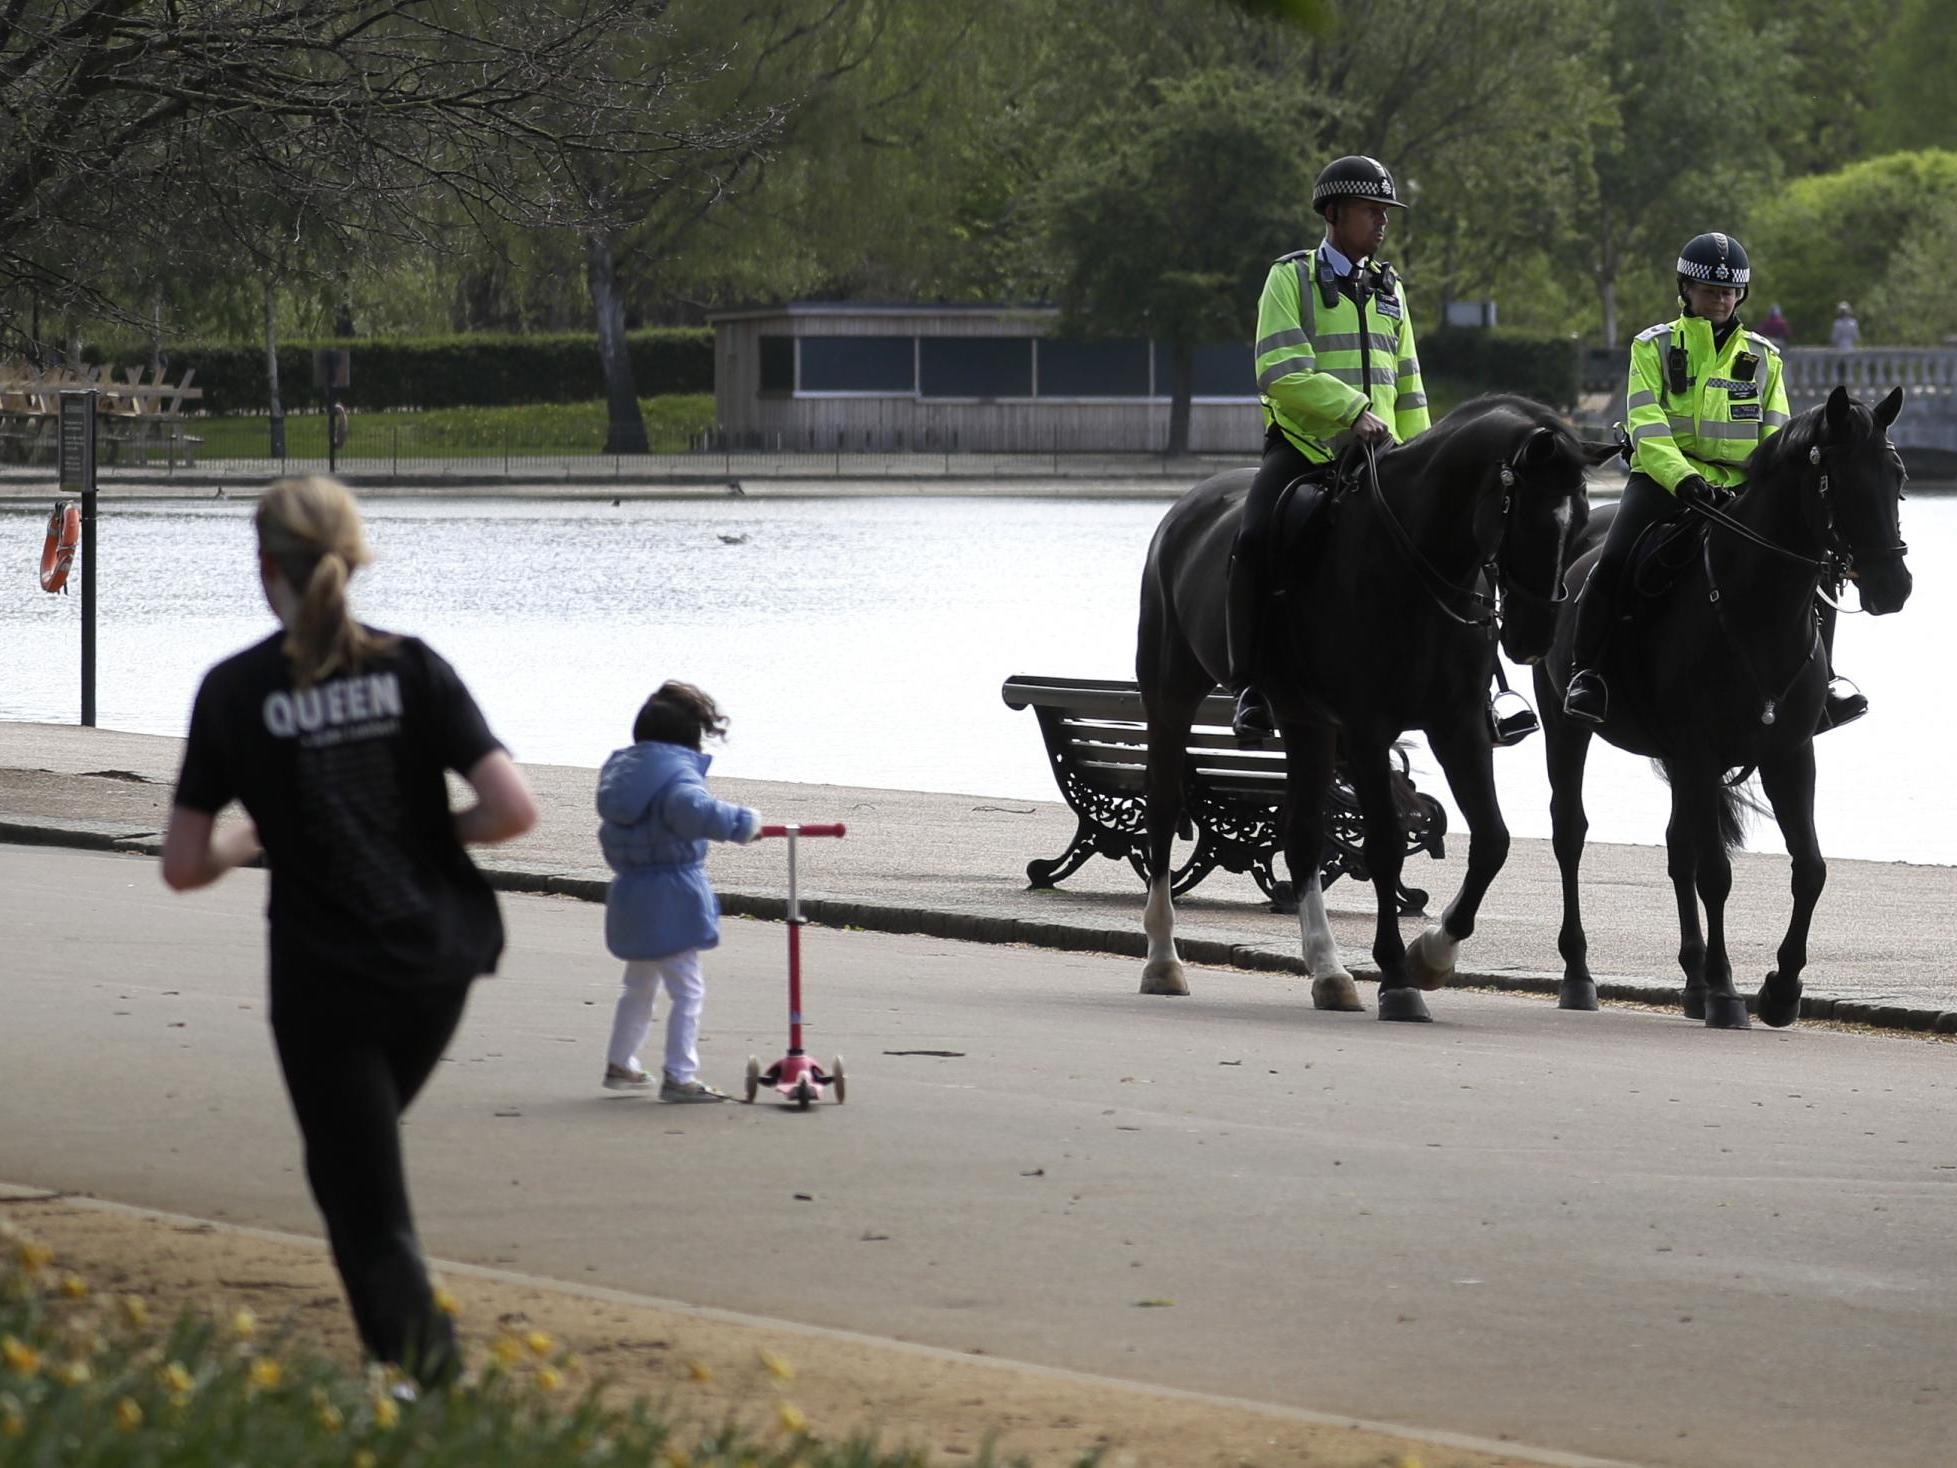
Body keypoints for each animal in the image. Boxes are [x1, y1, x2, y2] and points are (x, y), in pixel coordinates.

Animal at [1135, 397, 1604, 1025]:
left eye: (1580, 519)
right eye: (1526, 514)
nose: (1536, 636)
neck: (1416, 566)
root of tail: (1184, 508)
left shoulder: (1457, 726)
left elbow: (1493, 840)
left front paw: (1433, 955)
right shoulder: (1365, 730)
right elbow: (1384, 845)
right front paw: (1398, 977)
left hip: (1306, 724)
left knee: (1302, 834)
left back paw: (1329, 971)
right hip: (1170, 697)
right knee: (1163, 813)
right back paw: (1163, 959)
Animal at [1526, 385, 1910, 1025]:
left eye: (1897, 475)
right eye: (1839, 479)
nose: (1893, 585)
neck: (1753, 605)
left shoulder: (1787, 754)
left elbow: (1810, 868)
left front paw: (1780, 989)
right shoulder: (1702, 753)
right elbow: (1717, 874)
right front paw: (1729, 991)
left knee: (1678, 844)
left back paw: (1692, 980)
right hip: (1565, 724)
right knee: (1570, 832)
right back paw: (1580, 973)